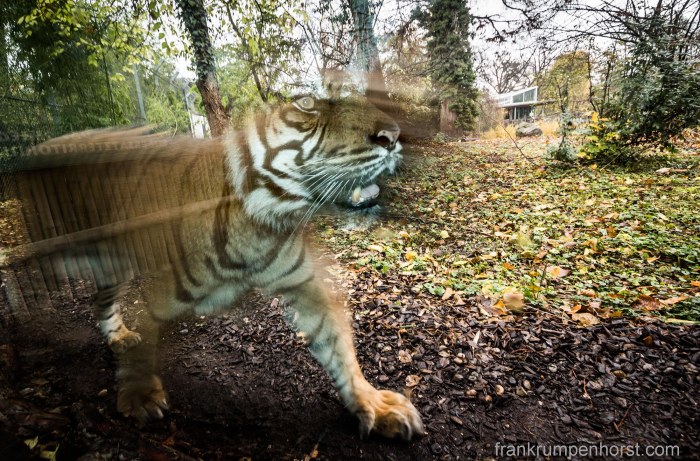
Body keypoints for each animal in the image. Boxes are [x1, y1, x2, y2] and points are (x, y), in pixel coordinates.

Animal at [1, 80, 424, 440]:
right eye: (306, 102)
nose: (393, 135)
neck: (263, 220)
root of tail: (32, 150)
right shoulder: (155, 293)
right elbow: (143, 351)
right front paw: (139, 397)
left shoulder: (306, 284)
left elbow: (339, 348)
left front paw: (373, 404)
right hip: (66, 250)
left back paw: (117, 335)